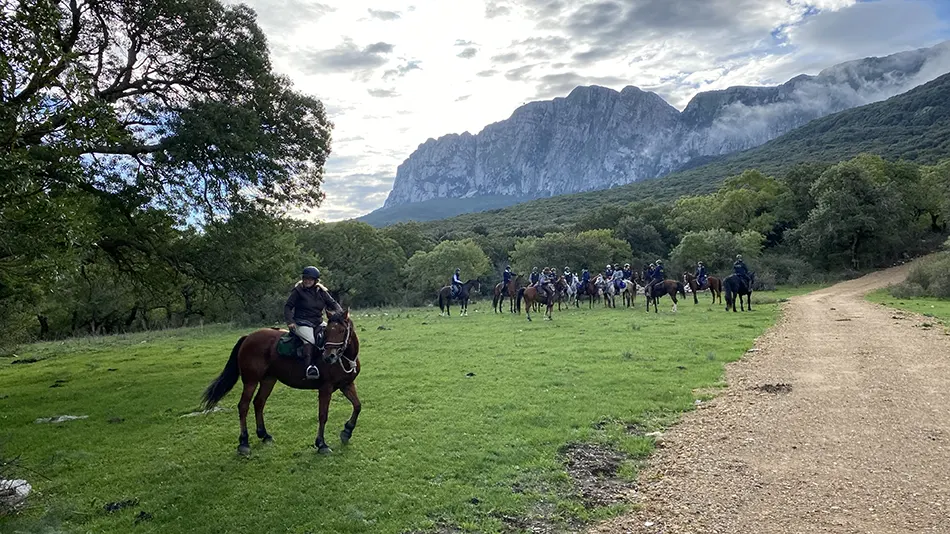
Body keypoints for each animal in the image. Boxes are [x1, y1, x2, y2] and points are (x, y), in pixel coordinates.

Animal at [201, 312, 360, 458]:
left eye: (342, 331)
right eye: (326, 332)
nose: (329, 357)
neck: (345, 358)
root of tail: (248, 337)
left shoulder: (346, 385)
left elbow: (357, 406)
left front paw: (347, 432)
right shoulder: (325, 389)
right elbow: (323, 415)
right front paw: (321, 444)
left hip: (268, 380)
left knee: (259, 402)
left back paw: (264, 435)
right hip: (251, 381)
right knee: (243, 406)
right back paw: (244, 443)